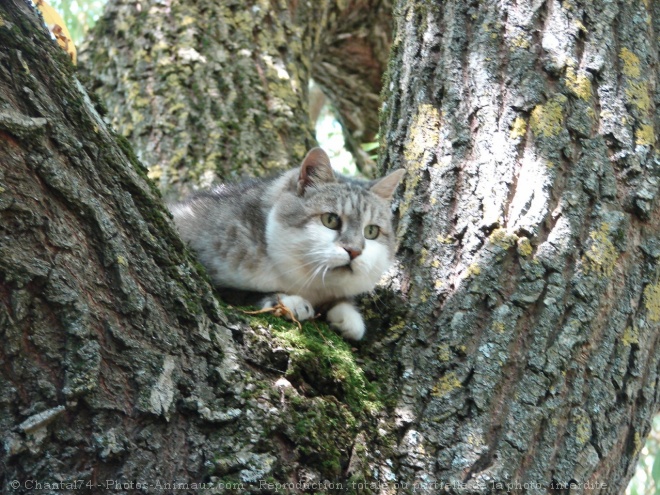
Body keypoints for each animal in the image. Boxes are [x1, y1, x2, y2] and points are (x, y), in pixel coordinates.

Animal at [170, 147, 404, 340]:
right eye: (330, 220)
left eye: (371, 231)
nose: (354, 251)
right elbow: (239, 293)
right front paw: (292, 302)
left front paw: (348, 316)